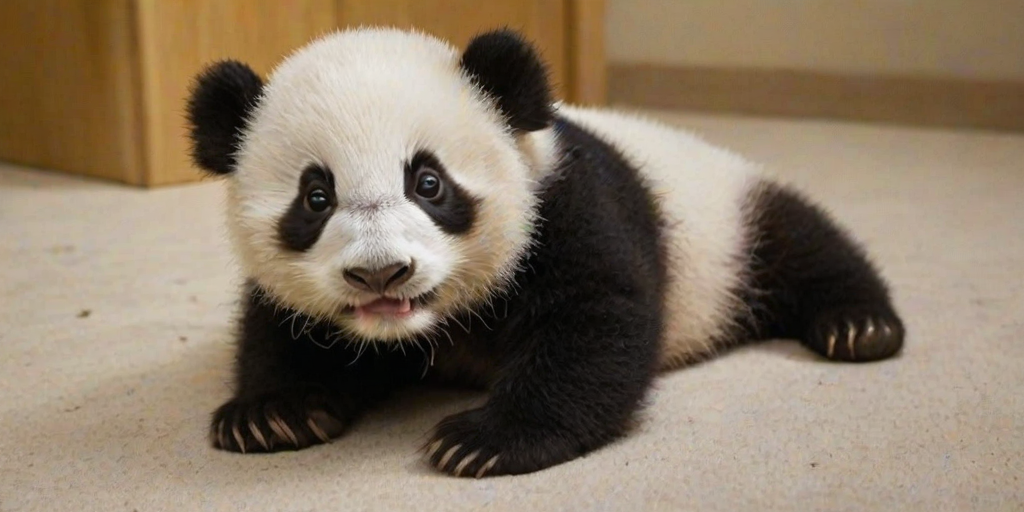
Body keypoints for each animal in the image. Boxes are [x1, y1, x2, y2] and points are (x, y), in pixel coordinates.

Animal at [185, 27, 905, 478]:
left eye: (428, 183)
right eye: (316, 197)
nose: (381, 273)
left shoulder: (564, 205)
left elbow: (593, 321)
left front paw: (486, 440)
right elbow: (283, 331)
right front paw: (270, 415)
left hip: (729, 216)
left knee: (799, 240)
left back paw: (858, 325)